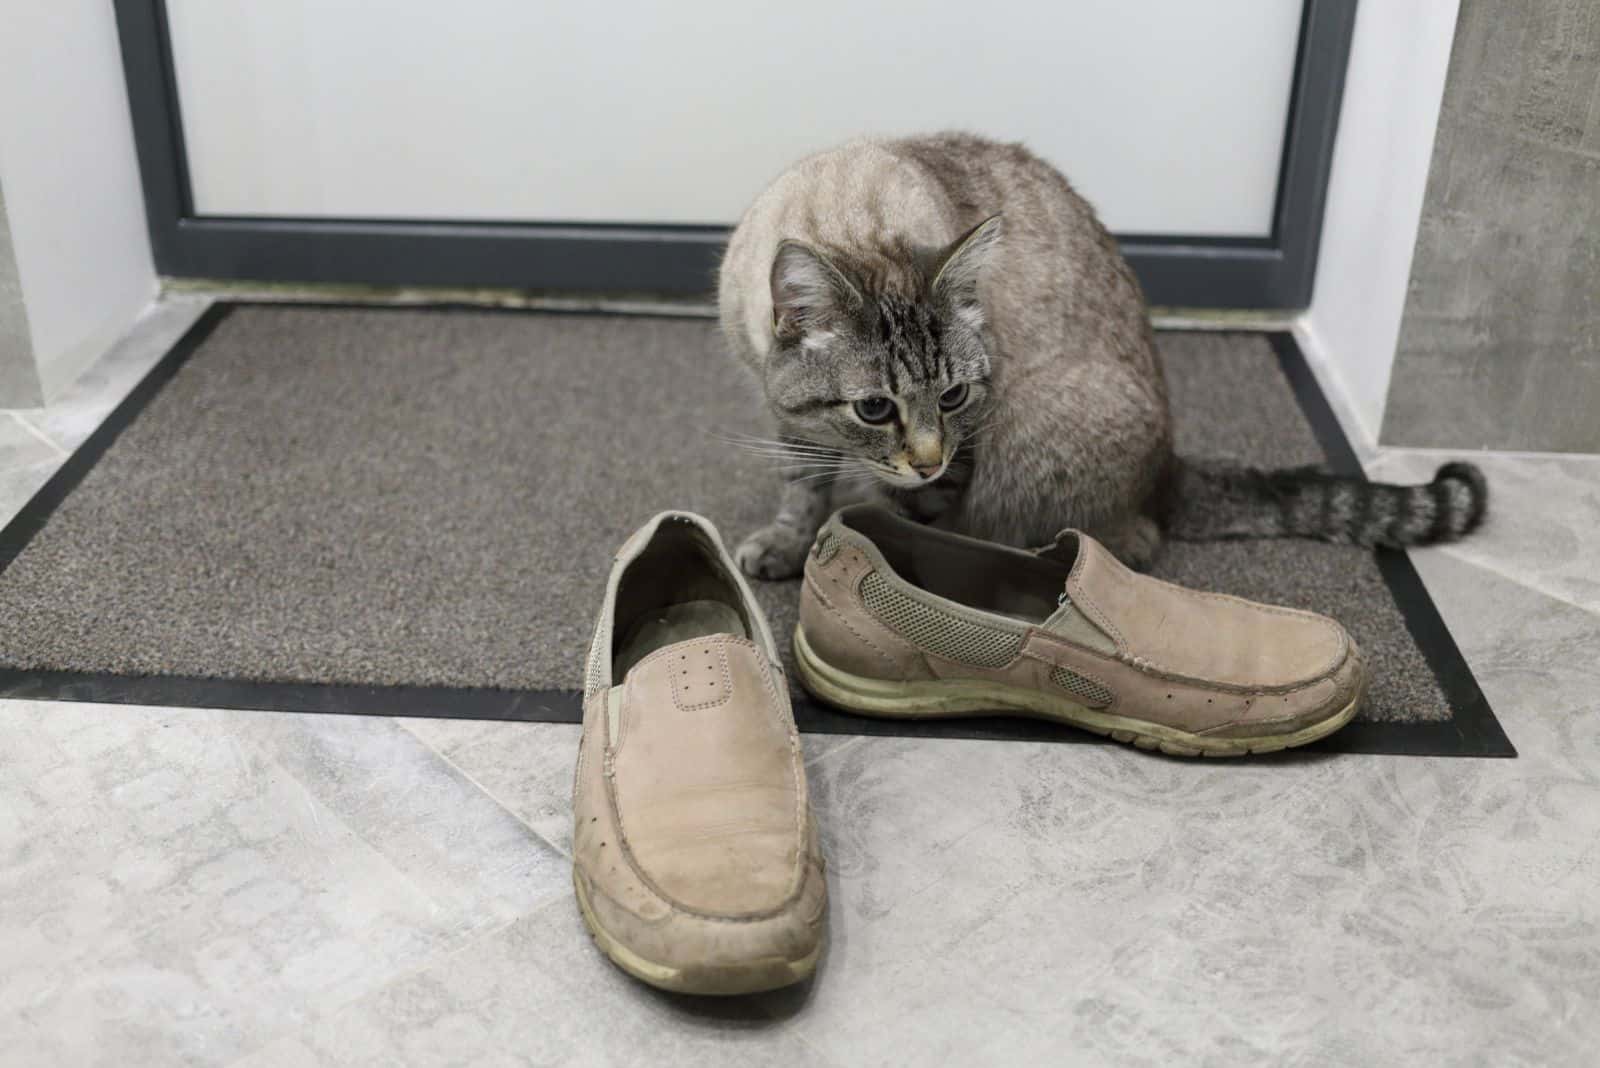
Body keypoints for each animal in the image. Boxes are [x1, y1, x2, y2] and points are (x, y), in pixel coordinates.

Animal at [716, 139, 1484, 585]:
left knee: (1121, 541)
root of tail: (1167, 467)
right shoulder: (792, 419)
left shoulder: (966, 447)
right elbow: (802, 485)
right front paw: (787, 543)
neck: (848, 213)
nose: (928, 459)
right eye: (875, 408)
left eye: (956, 397)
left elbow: (917, 509)